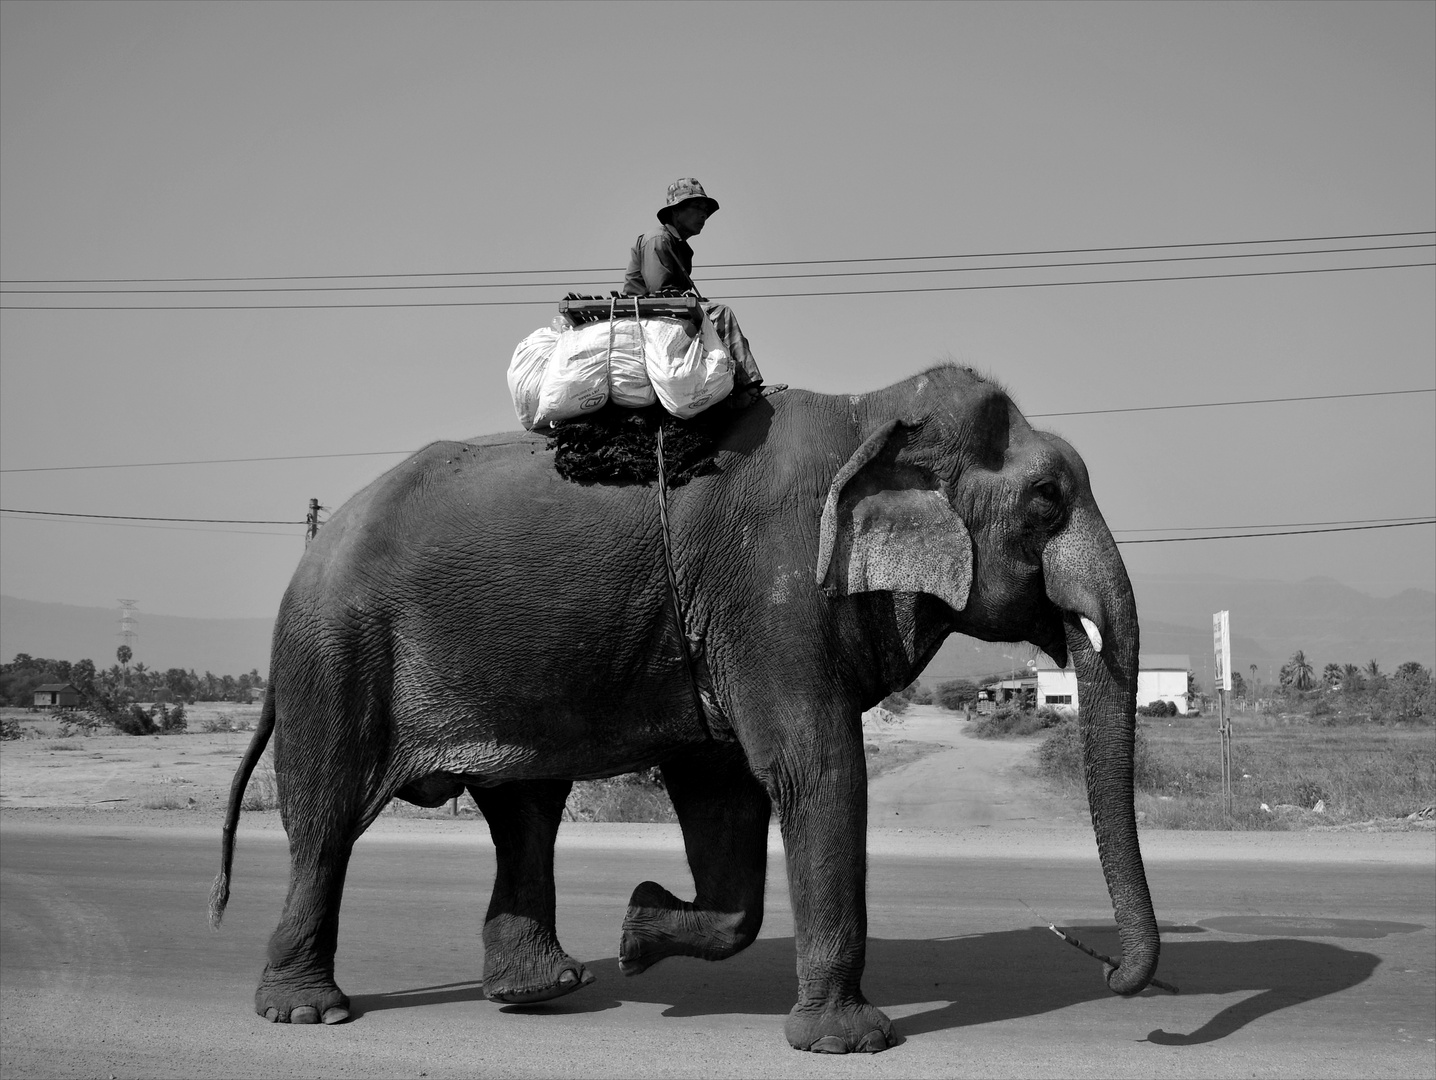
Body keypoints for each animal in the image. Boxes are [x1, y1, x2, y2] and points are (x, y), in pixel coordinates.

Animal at [208, 360, 1160, 1045]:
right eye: (1048, 499)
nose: (1108, 976)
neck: (872, 410)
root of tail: (316, 547)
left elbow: (727, 791)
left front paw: (638, 931)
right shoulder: (773, 589)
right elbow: (814, 767)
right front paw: (851, 1042)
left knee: (524, 810)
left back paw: (551, 987)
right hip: (334, 652)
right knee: (327, 819)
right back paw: (309, 1012)